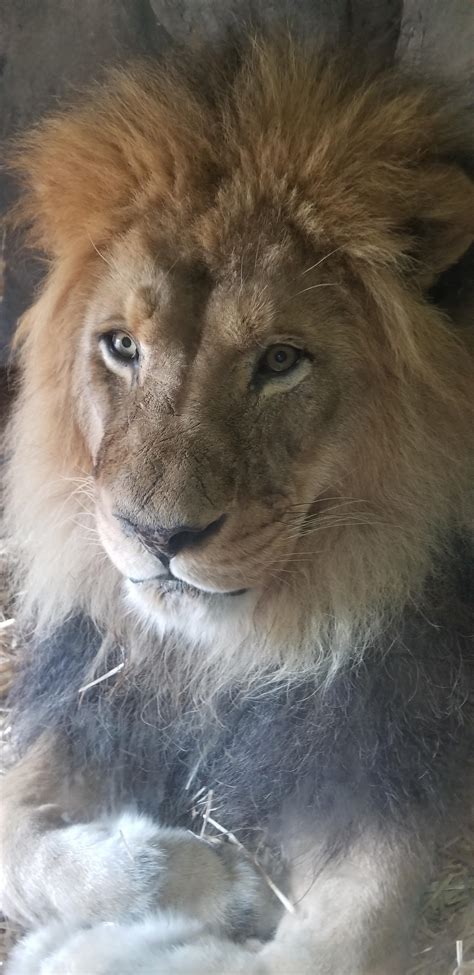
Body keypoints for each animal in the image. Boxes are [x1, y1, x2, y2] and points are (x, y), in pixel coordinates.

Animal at [0, 34, 473, 975]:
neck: (224, 659)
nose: (157, 534)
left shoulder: (390, 757)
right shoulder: (91, 690)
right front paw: (205, 877)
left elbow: (327, 949)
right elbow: (17, 842)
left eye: (282, 360)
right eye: (121, 346)